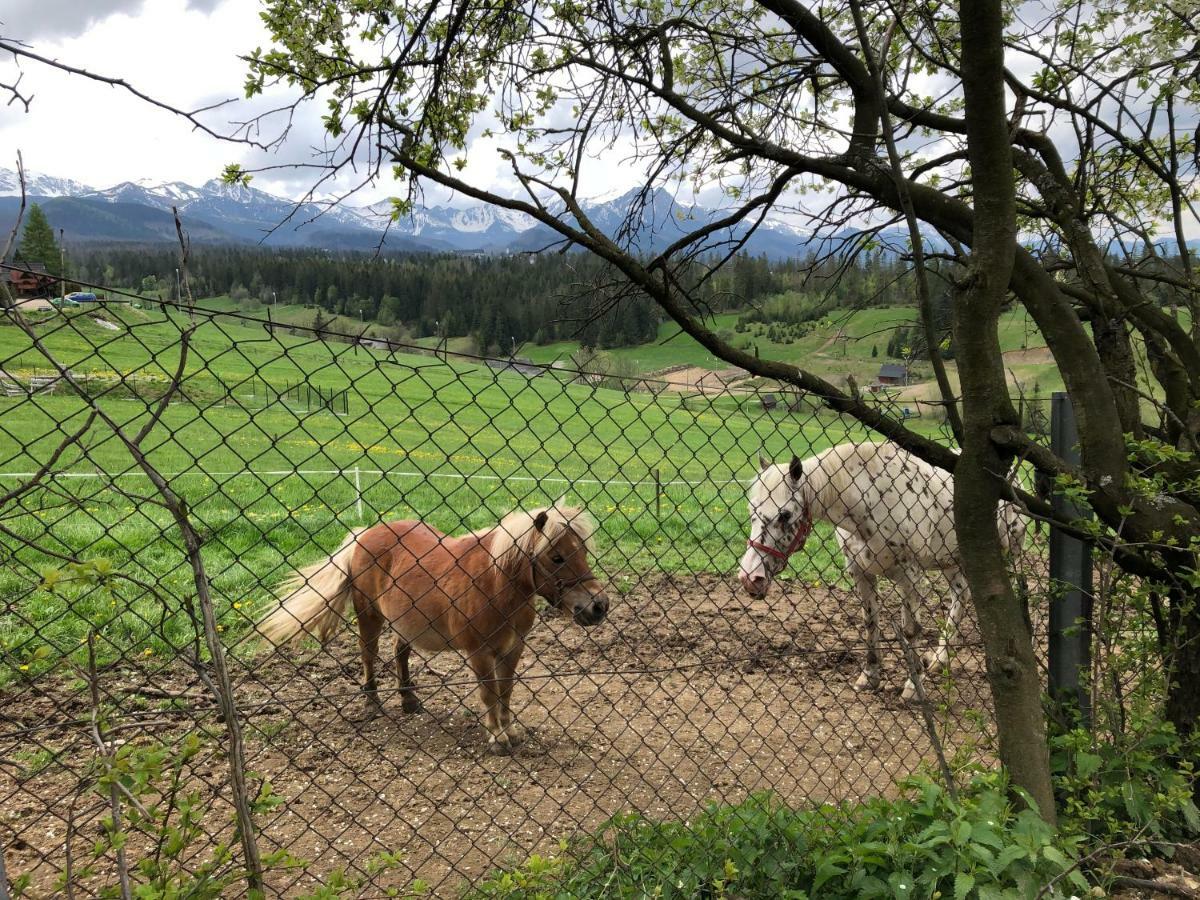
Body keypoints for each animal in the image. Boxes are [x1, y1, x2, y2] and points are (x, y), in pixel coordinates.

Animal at [256, 508, 604, 753]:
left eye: (583, 552)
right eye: (556, 557)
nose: (598, 606)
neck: (495, 583)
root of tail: (364, 534)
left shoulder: (512, 649)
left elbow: (505, 691)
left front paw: (511, 731)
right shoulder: (480, 654)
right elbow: (489, 693)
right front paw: (497, 737)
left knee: (399, 652)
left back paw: (409, 700)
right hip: (369, 616)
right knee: (368, 654)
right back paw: (372, 703)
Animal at [734, 444, 1027, 705]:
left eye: (784, 515)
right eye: (751, 510)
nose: (750, 577)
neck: (871, 502)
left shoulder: (910, 576)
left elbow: (910, 630)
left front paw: (913, 687)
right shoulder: (861, 573)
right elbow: (870, 623)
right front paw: (870, 677)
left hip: (1008, 554)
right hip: (952, 561)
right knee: (961, 596)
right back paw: (940, 660)